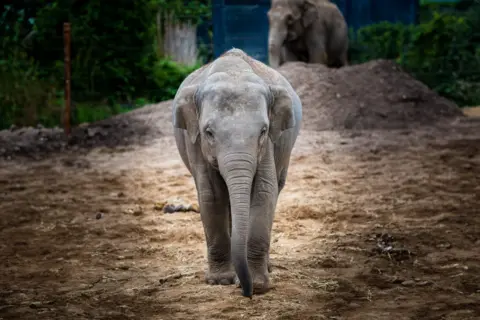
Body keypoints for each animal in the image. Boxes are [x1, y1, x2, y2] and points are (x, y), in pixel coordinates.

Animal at [171, 48, 302, 298]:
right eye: (209, 132)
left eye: (263, 131)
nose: (247, 292)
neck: (234, 71)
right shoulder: (195, 142)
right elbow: (211, 195)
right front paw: (221, 281)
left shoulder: (268, 145)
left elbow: (264, 192)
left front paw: (258, 285)